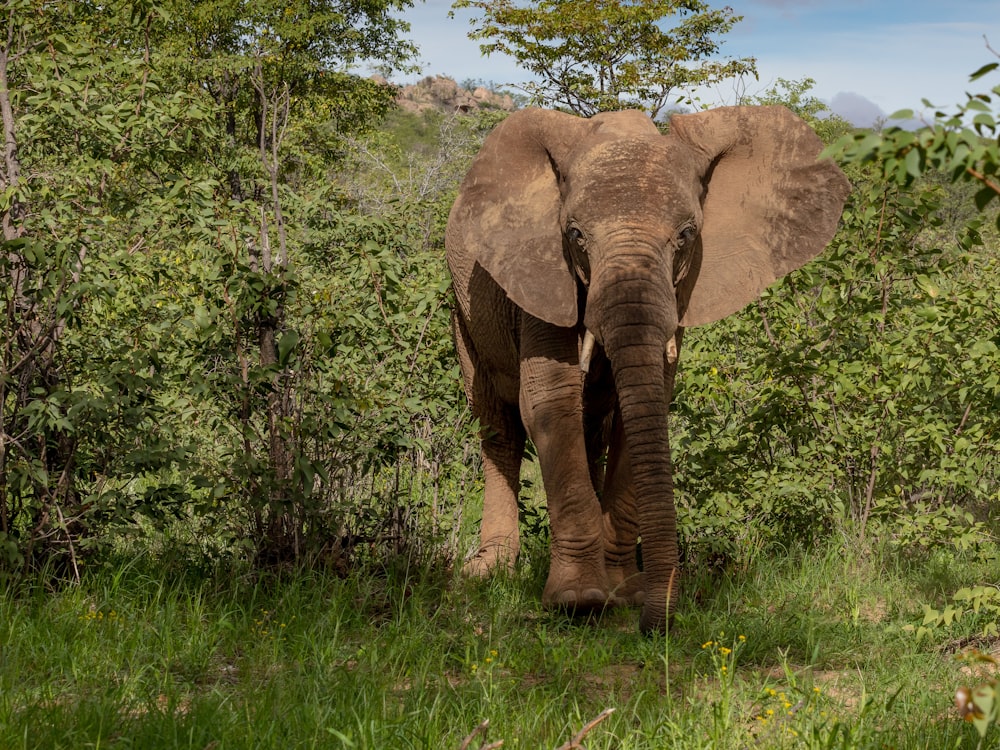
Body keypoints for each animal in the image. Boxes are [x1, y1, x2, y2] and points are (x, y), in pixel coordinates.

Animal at [450, 106, 848, 636]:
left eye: (686, 235)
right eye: (575, 235)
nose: (656, 627)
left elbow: (641, 408)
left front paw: (625, 592)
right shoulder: (540, 274)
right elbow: (548, 402)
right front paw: (578, 602)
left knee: (592, 429)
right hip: (463, 310)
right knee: (499, 424)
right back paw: (489, 571)